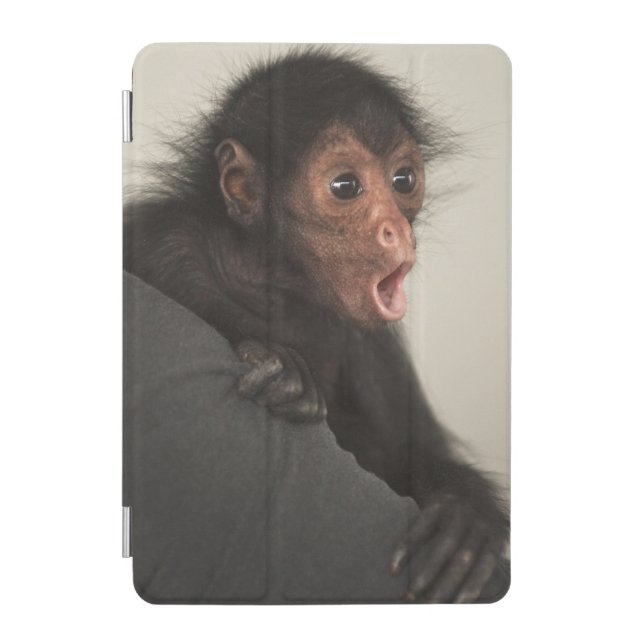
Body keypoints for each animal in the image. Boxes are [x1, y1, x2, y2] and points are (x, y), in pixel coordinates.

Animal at [124, 48, 510, 603]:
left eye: (404, 181)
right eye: (345, 187)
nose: (396, 229)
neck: (276, 286)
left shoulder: (373, 345)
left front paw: (467, 515)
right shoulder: (166, 240)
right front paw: (281, 365)